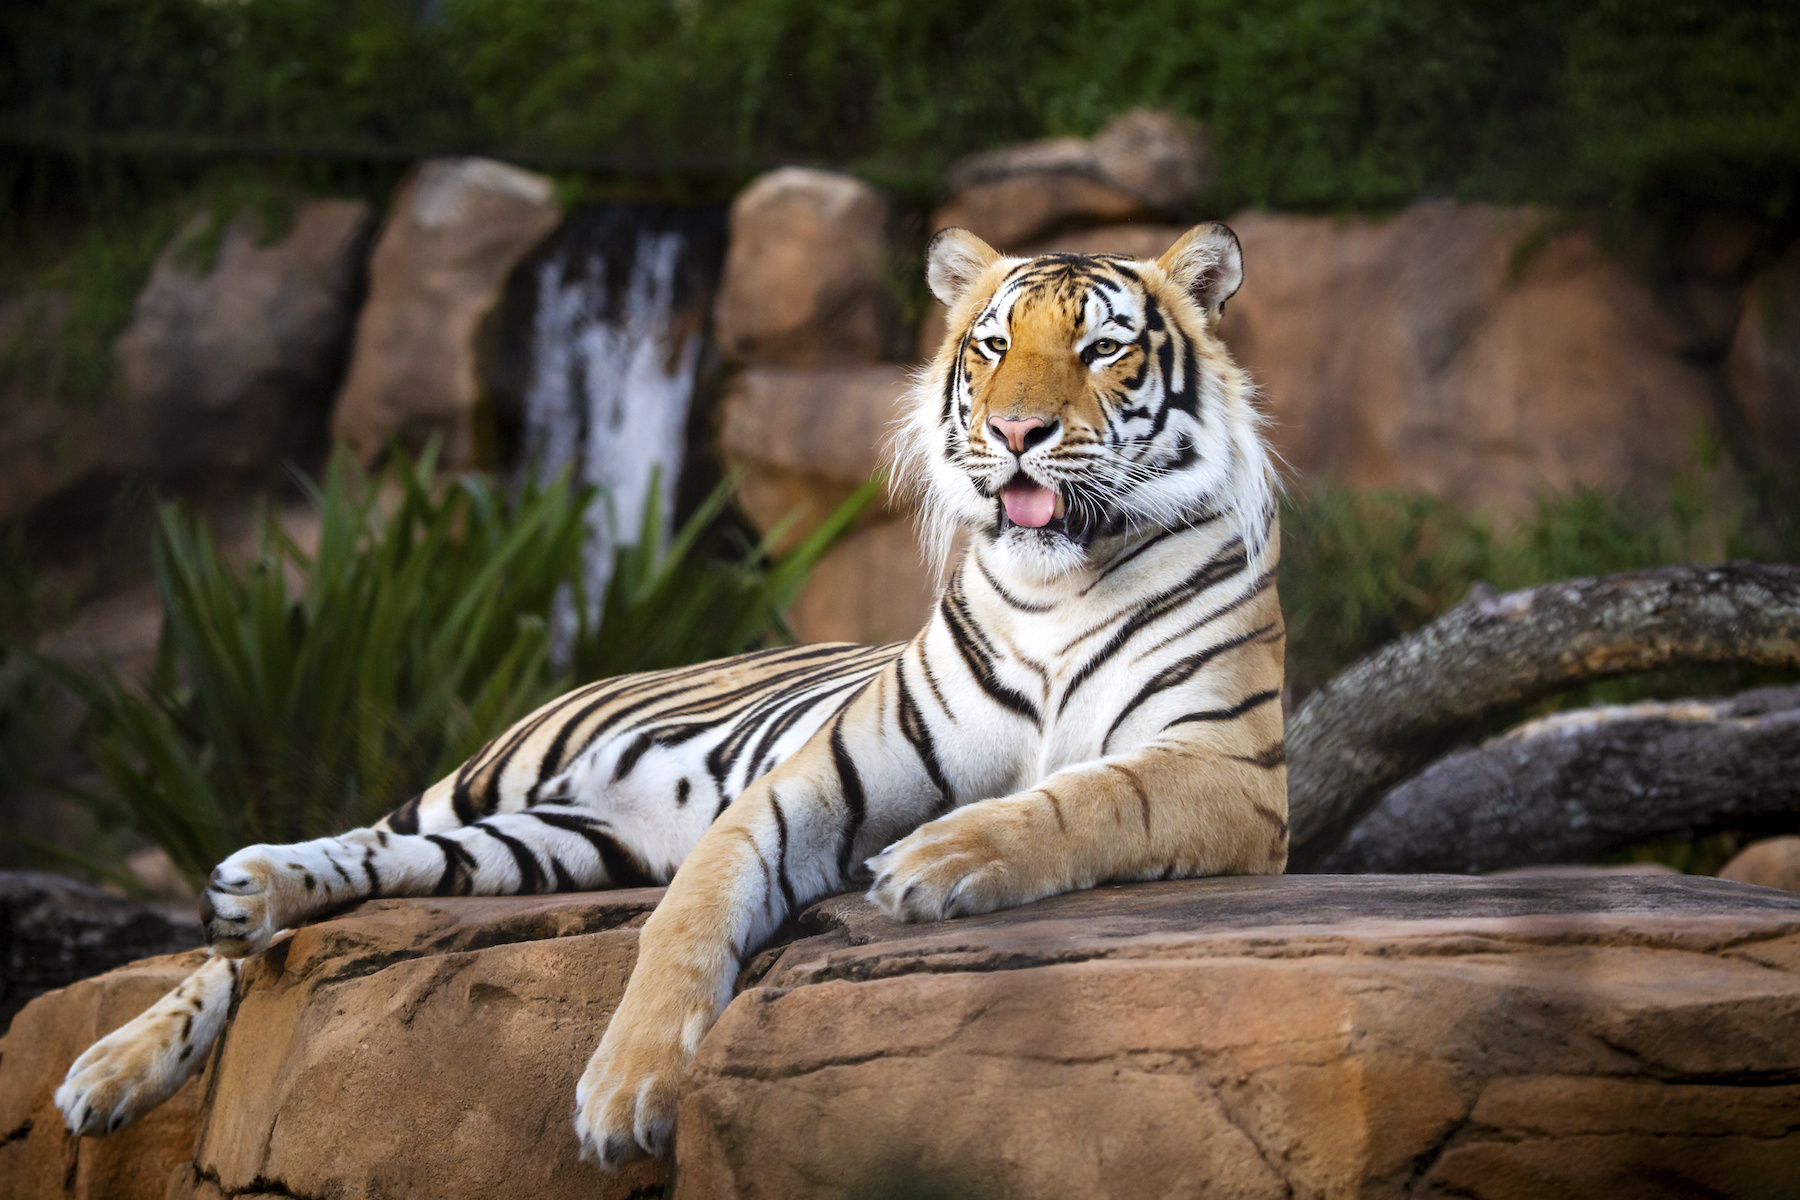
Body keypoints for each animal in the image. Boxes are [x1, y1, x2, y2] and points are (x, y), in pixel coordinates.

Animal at [56, 221, 1287, 1168]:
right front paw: (626, 1094)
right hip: (490, 777)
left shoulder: (1227, 770)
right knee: (302, 888)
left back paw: (253, 903)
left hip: (543, 844)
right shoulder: (820, 778)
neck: (1054, 587)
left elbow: (1087, 796)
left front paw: (941, 857)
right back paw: (139, 1027)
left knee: (386, 865)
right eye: (991, 347)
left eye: (1103, 348)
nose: (1016, 433)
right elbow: (690, 917)